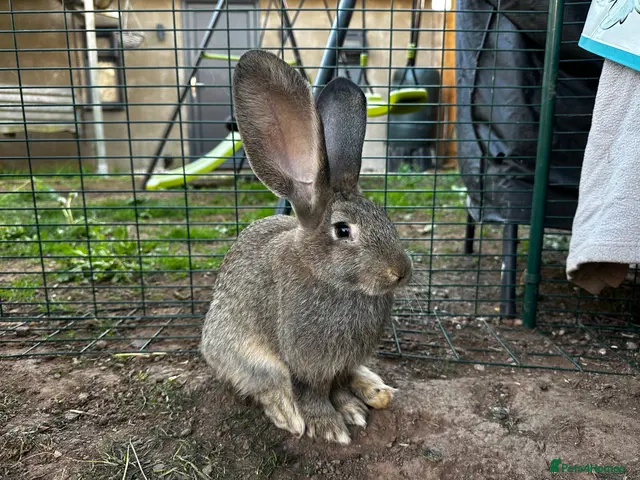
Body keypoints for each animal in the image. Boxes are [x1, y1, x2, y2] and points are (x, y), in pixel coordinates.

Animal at [200, 49, 412, 445]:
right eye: (343, 230)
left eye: (384, 215)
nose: (401, 272)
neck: (327, 277)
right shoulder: (303, 363)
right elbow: (310, 392)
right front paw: (328, 425)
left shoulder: (341, 364)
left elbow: (340, 384)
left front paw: (351, 410)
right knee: (264, 384)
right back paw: (287, 414)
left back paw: (377, 390)